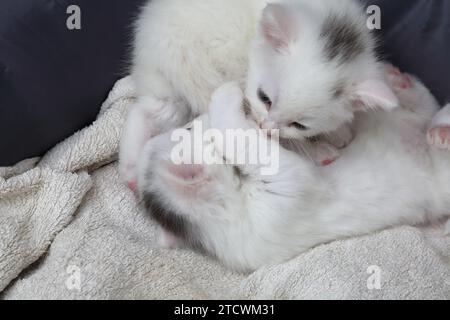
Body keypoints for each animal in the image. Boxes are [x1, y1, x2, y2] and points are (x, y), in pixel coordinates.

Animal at [119, 0, 398, 190]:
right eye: (265, 98)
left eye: (299, 124)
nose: (266, 128)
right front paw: (327, 142)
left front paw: (338, 130)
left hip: (167, 84)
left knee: (147, 110)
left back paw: (131, 168)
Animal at [137, 69, 450, 272]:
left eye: (187, 127)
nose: (197, 119)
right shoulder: (282, 194)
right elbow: (237, 133)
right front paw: (227, 93)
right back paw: (439, 133)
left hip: (405, 116)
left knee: (424, 102)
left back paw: (400, 83)